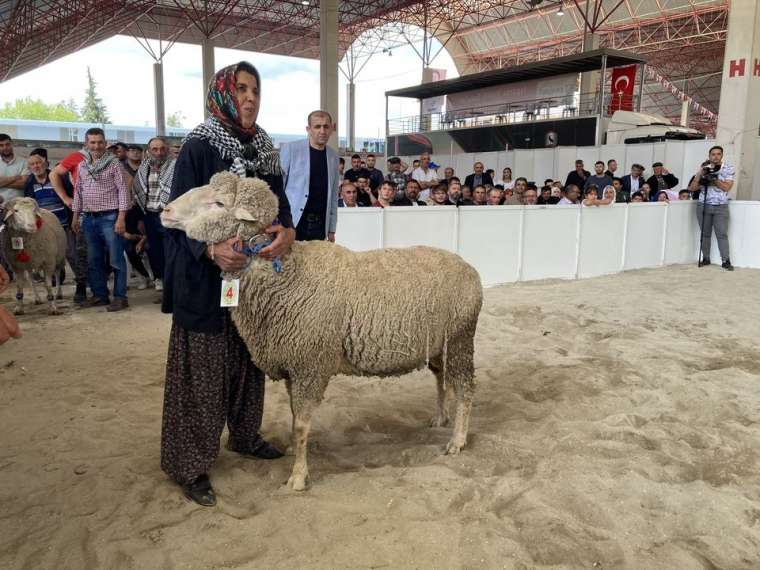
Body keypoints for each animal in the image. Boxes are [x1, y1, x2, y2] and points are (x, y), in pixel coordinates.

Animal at [161, 173, 484, 488]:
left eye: (218, 203)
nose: (165, 211)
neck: (288, 274)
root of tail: (469, 268)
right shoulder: (293, 366)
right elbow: (294, 417)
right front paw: (293, 450)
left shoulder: (309, 366)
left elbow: (302, 424)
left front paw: (298, 476)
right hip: (439, 344)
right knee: (442, 378)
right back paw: (441, 417)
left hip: (460, 339)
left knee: (465, 389)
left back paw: (457, 440)